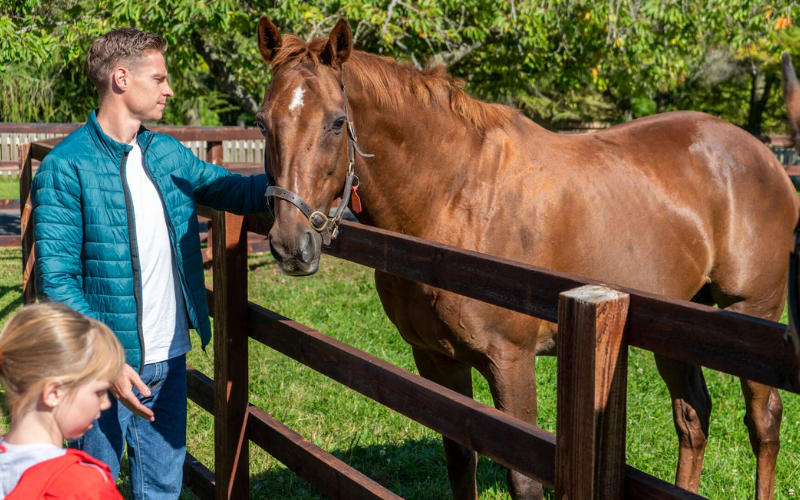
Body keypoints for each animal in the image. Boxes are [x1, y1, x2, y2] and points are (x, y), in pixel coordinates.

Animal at [260, 16, 796, 500]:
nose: (290, 246)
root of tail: (766, 159)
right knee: (692, 417)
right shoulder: (436, 359)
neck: (455, 199)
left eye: (336, 123)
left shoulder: (510, 361)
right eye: (264, 123)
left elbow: (523, 479)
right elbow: (460, 462)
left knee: (763, 424)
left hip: (753, 318)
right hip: (681, 323)